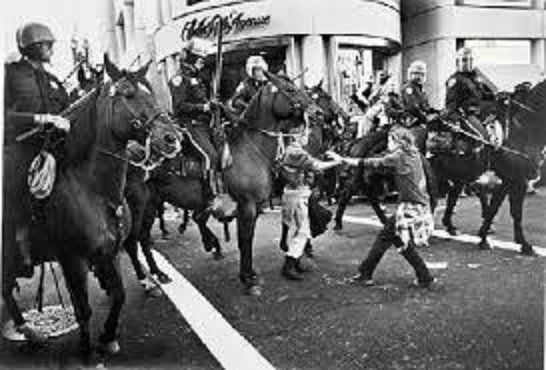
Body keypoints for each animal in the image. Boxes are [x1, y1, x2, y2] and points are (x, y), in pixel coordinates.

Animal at [2, 55, 181, 356]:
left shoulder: (108, 252)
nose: (171, 138)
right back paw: (28, 330)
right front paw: (86, 350)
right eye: (127, 94)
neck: (91, 190)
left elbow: (119, 293)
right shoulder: (73, 259)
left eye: (152, 92)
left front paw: (108, 335)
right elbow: (83, 309)